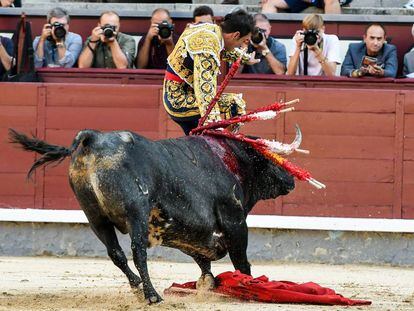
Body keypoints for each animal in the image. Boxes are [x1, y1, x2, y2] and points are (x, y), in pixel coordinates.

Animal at [8, 129, 294, 304]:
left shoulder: (190, 233)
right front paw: (248, 285)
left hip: (94, 216)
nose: (291, 180)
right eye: (272, 158)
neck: (231, 159)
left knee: (116, 253)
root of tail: (95, 139)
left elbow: (203, 260)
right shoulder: (234, 220)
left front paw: (208, 284)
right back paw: (152, 295)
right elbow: (240, 260)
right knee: (137, 252)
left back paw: (137, 287)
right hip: (136, 213)